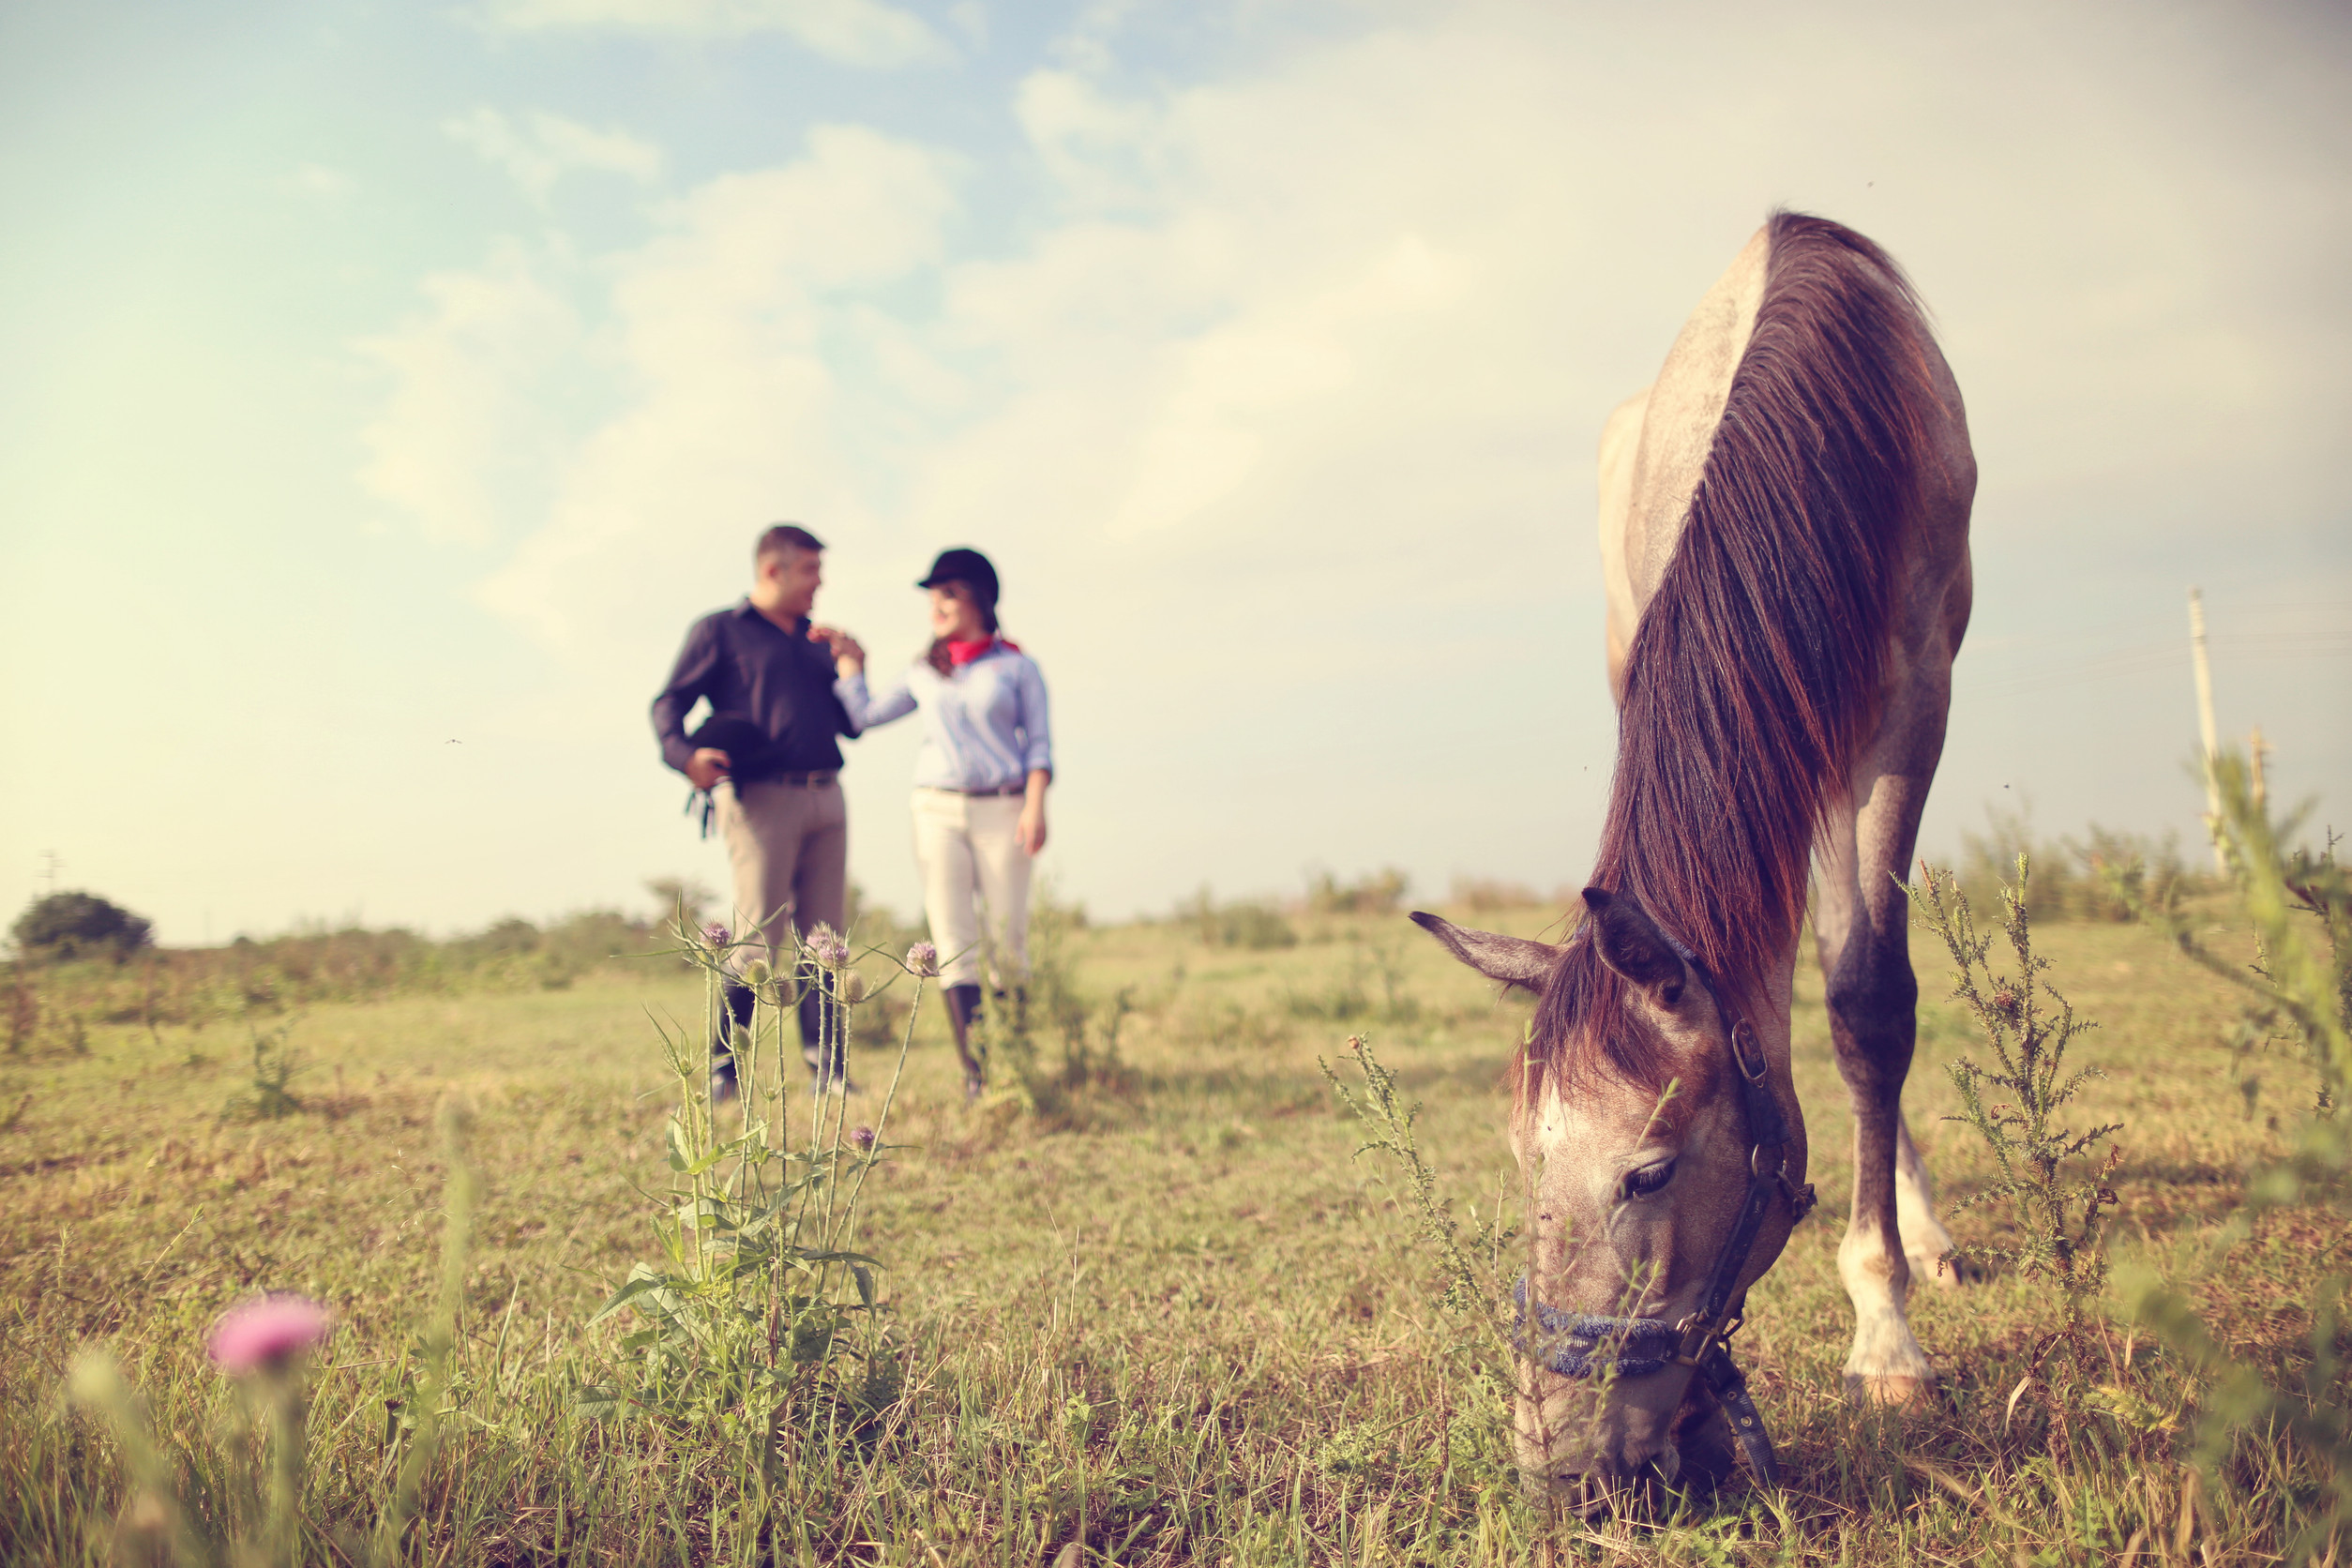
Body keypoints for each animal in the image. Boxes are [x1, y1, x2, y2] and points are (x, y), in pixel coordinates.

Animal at [1410, 211, 1966, 1504]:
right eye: (1520, 1158)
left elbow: (1870, 997)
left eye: (1650, 1174)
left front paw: (1886, 1333)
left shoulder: (1912, 700)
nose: (1557, 1469)